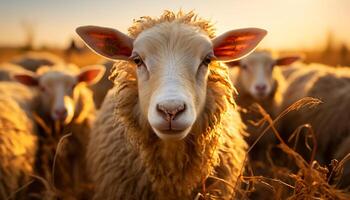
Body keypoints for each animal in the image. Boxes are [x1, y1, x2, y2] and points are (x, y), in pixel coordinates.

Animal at [13, 63, 105, 198]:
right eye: (42, 88)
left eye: (74, 86)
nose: (61, 112)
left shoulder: (78, 154)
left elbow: (76, 181)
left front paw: (75, 192)